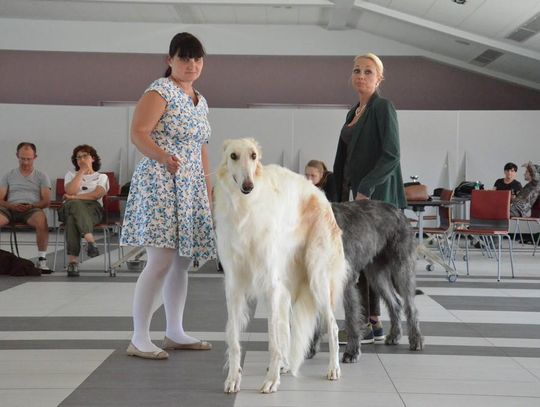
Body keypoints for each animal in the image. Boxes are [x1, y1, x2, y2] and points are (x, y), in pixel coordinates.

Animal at [213, 139, 348, 394]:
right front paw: (233, 379)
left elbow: (274, 342)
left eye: (254, 156)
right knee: (285, 330)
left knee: (333, 326)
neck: (245, 209)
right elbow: (234, 338)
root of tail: (321, 196)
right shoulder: (234, 285)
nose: (248, 185)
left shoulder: (271, 285)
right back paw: (285, 366)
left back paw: (333, 369)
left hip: (317, 279)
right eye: (233, 156)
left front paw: (270, 381)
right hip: (285, 290)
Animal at [312, 199, 422, 362]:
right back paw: (395, 335)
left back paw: (416, 339)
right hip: (376, 275)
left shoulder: (347, 281)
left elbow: (352, 318)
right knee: (395, 303)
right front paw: (311, 348)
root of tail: (398, 211)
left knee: (410, 306)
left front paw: (352, 351)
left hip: (402, 268)